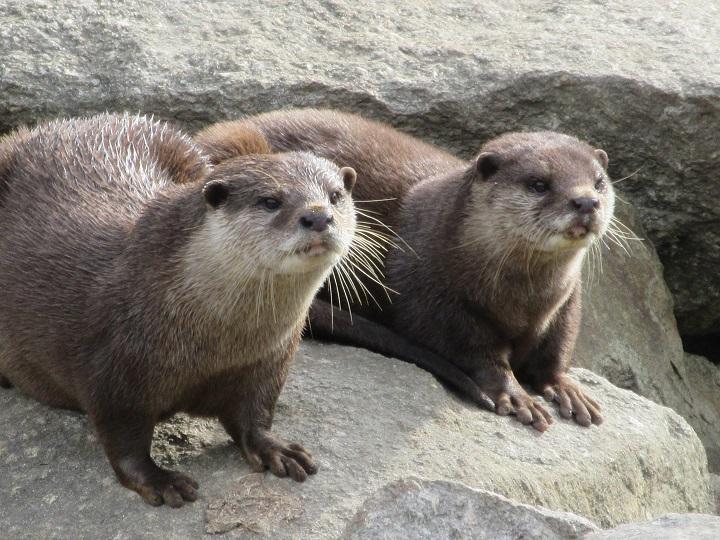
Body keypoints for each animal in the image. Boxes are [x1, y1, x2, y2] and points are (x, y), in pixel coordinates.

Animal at [0, 113, 358, 506]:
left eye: (335, 195)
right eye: (270, 201)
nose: (318, 217)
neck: (217, 343)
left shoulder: (269, 361)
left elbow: (256, 412)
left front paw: (275, 448)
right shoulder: (112, 367)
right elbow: (122, 437)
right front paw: (159, 480)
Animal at [195, 109, 612, 430]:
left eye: (599, 182)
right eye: (539, 183)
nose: (585, 202)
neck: (524, 299)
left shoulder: (567, 302)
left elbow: (556, 349)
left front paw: (565, 388)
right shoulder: (433, 297)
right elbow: (472, 351)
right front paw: (514, 393)